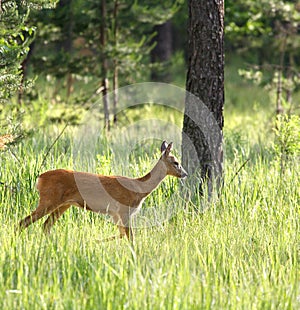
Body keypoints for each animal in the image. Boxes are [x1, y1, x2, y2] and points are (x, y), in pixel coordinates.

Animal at [18, 142, 188, 241]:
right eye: (176, 162)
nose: (185, 174)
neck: (139, 188)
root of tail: (39, 178)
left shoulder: (115, 213)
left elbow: (122, 234)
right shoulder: (124, 210)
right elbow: (131, 237)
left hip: (64, 204)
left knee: (46, 226)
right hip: (49, 199)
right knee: (23, 222)